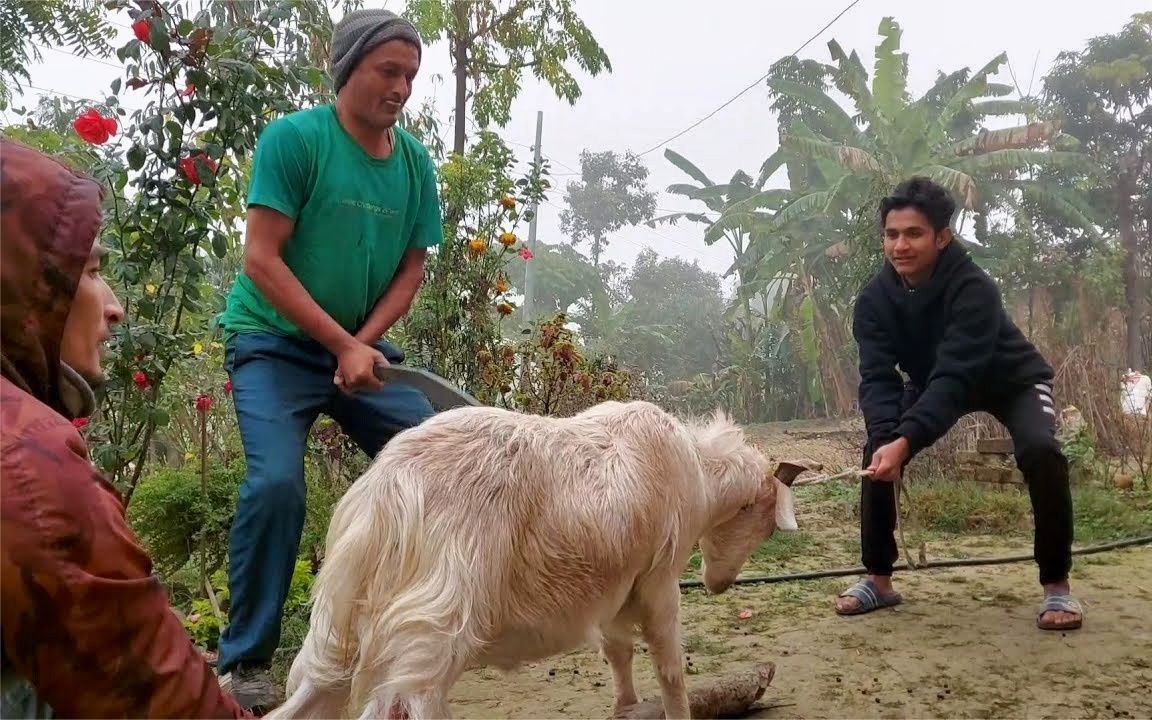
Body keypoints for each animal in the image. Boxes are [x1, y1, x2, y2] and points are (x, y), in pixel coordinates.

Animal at [266, 398, 797, 718]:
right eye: (766, 523)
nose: (719, 585)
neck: (699, 472)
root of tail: (387, 493)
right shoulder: (658, 579)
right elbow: (670, 668)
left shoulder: (615, 587)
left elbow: (619, 653)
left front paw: (625, 707)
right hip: (433, 620)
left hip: (342, 621)